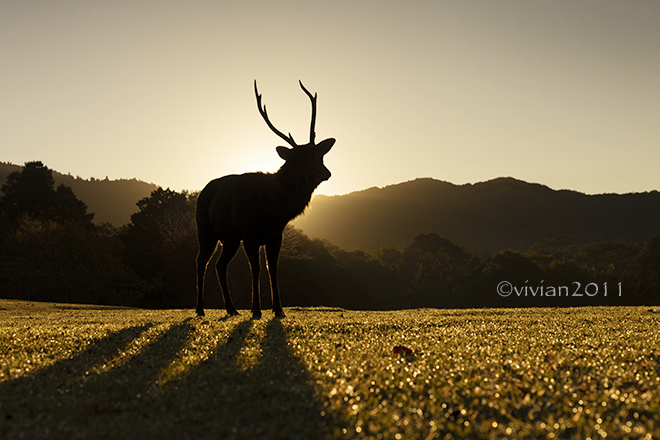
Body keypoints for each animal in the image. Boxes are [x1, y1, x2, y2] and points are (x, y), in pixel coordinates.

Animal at [193, 81, 332, 318]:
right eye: (308, 157)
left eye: (319, 154)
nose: (327, 173)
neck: (275, 210)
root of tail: (202, 192)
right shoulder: (250, 234)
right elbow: (255, 268)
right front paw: (256, 309)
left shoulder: (275, 235)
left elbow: (272, 268)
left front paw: (279, 309)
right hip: (206, 230)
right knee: (201, 261)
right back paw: (200, 309)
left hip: (230, 238)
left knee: (220, 265)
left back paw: (231, 309)